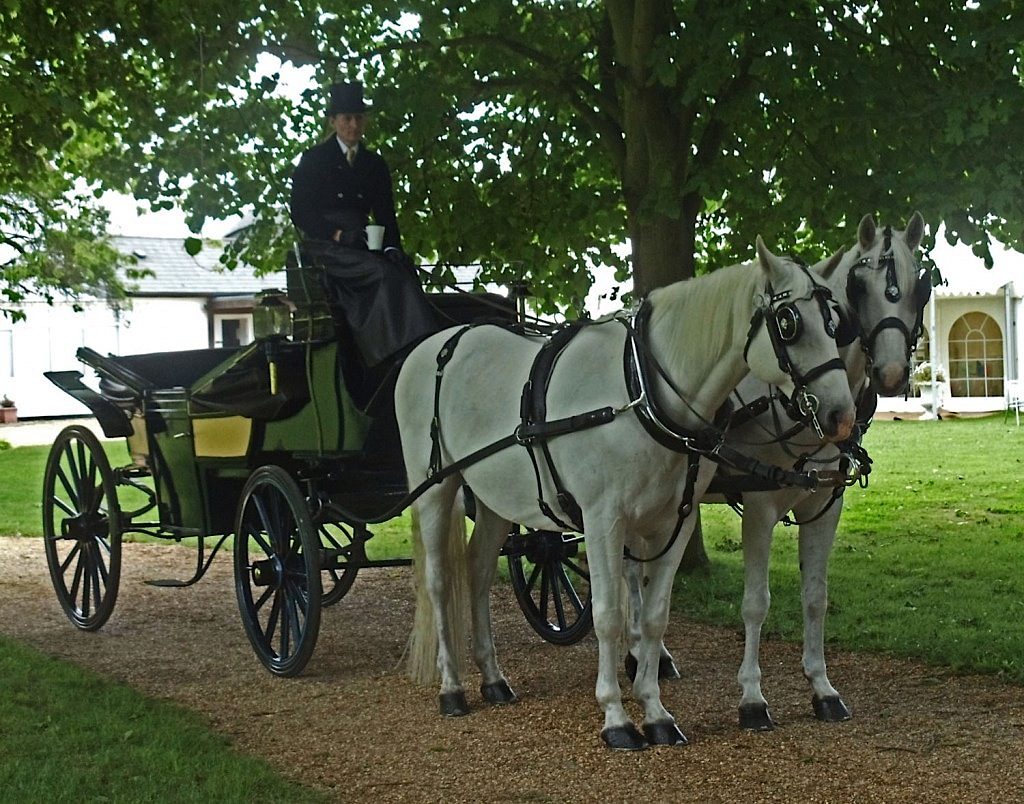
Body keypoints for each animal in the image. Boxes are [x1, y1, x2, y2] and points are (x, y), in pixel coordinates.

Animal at [397, 235, 856, 749]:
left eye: (836, 322)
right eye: (789, 323)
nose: (841, 416)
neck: (641, 391)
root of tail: (437, 343)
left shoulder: (676, 521)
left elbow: (654, 615)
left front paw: (655, 711)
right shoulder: (602, 521)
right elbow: (609, 615)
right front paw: (616, 716)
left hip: (497, 499)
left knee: (476, 572)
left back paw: (493, 679)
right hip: (435, 490)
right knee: (440, 581)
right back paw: (452, 687)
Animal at [622, 212, 929, 729]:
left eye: (919, 286)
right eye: (859, 287)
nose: (889, 373)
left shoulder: (825, 505)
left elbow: (815, 596)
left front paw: (822, 687)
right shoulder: (761, 506)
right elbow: (756, 604)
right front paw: (752, 698)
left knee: (637, 572)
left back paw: (650, 656)